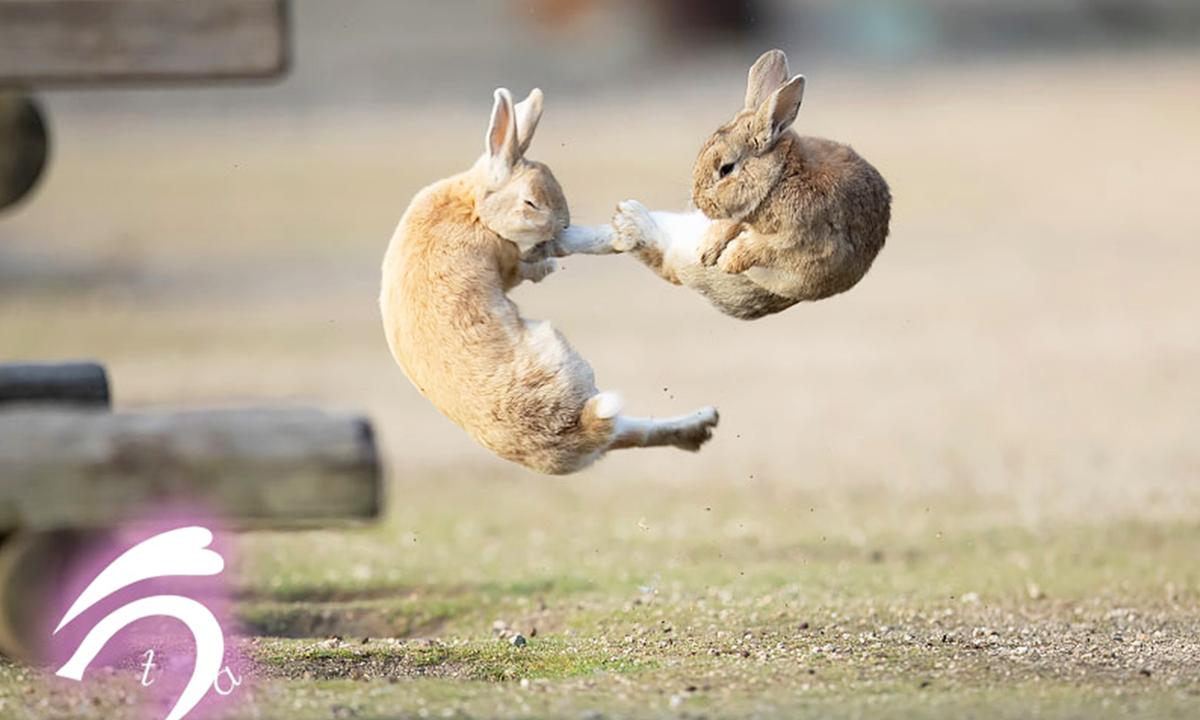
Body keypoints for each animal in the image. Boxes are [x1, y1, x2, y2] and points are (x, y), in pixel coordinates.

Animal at [379, 88, 719, 475]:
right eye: (530, 203)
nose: (563, 224)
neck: (475, 208)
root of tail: (579, 430)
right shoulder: (509, 259)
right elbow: (534, 261)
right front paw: (576, 253)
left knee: (631, 433)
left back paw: (702, 424)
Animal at [596, 49, 892, 320]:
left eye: (726, 169)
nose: (699, 203)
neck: (779, 178)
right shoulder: (739, 215)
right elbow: (730, 226)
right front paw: (707, 251)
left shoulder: (797, 240)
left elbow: (759, 248)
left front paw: (727, 260)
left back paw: (629, 220)